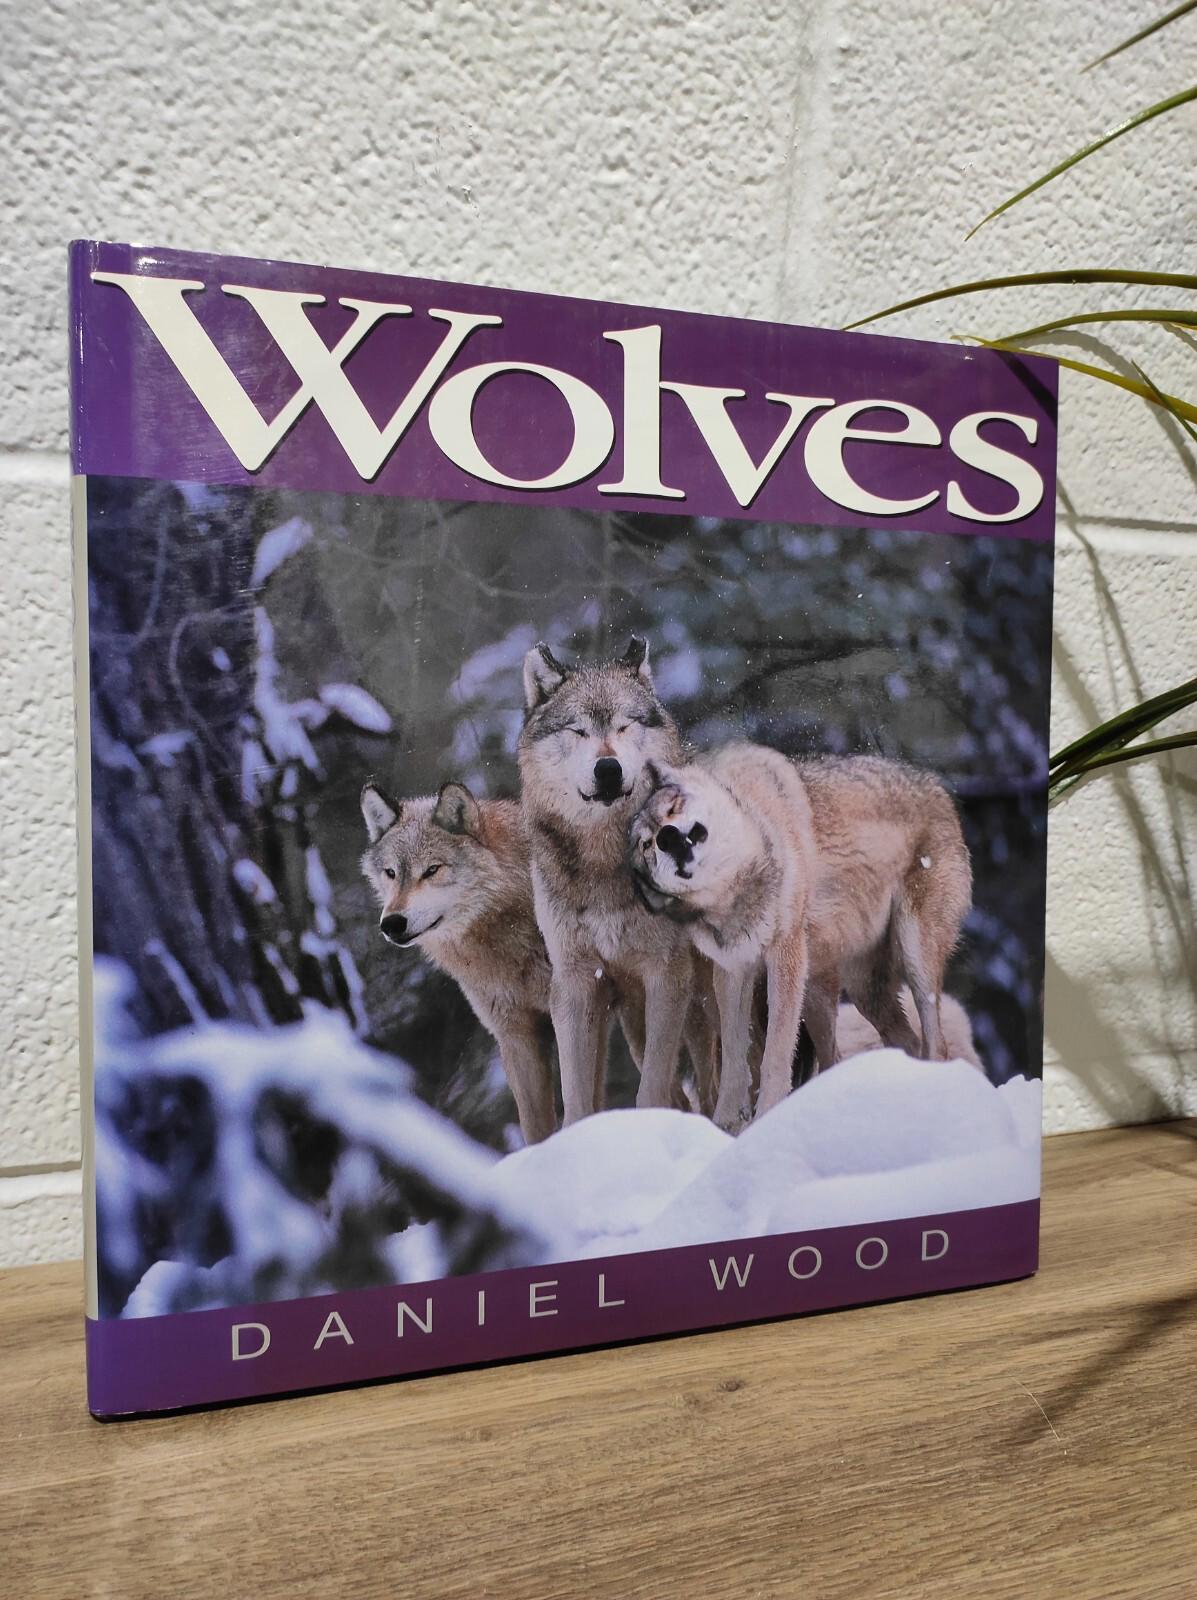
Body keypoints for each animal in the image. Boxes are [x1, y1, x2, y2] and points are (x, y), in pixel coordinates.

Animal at [517, 637, 707, 1123]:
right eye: (579, 731)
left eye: (624, 726)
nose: (608, 768)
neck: (605, 862)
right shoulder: (575, 982)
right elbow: (576, 1100)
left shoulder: (667, 973)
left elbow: (652, 1089)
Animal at [630, 746, 972, 1127]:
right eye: (646, 845)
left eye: (672, 808)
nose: (667, 838)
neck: (739, 887)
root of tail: (937, 787)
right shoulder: (733, 971)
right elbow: (734, 1055)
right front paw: (726, 1124)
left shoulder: (786, 955)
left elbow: (776, 1054)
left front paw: (767, 1115)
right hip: (850, 992)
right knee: (888, 1047)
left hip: (913, 962)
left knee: (935, 1044)